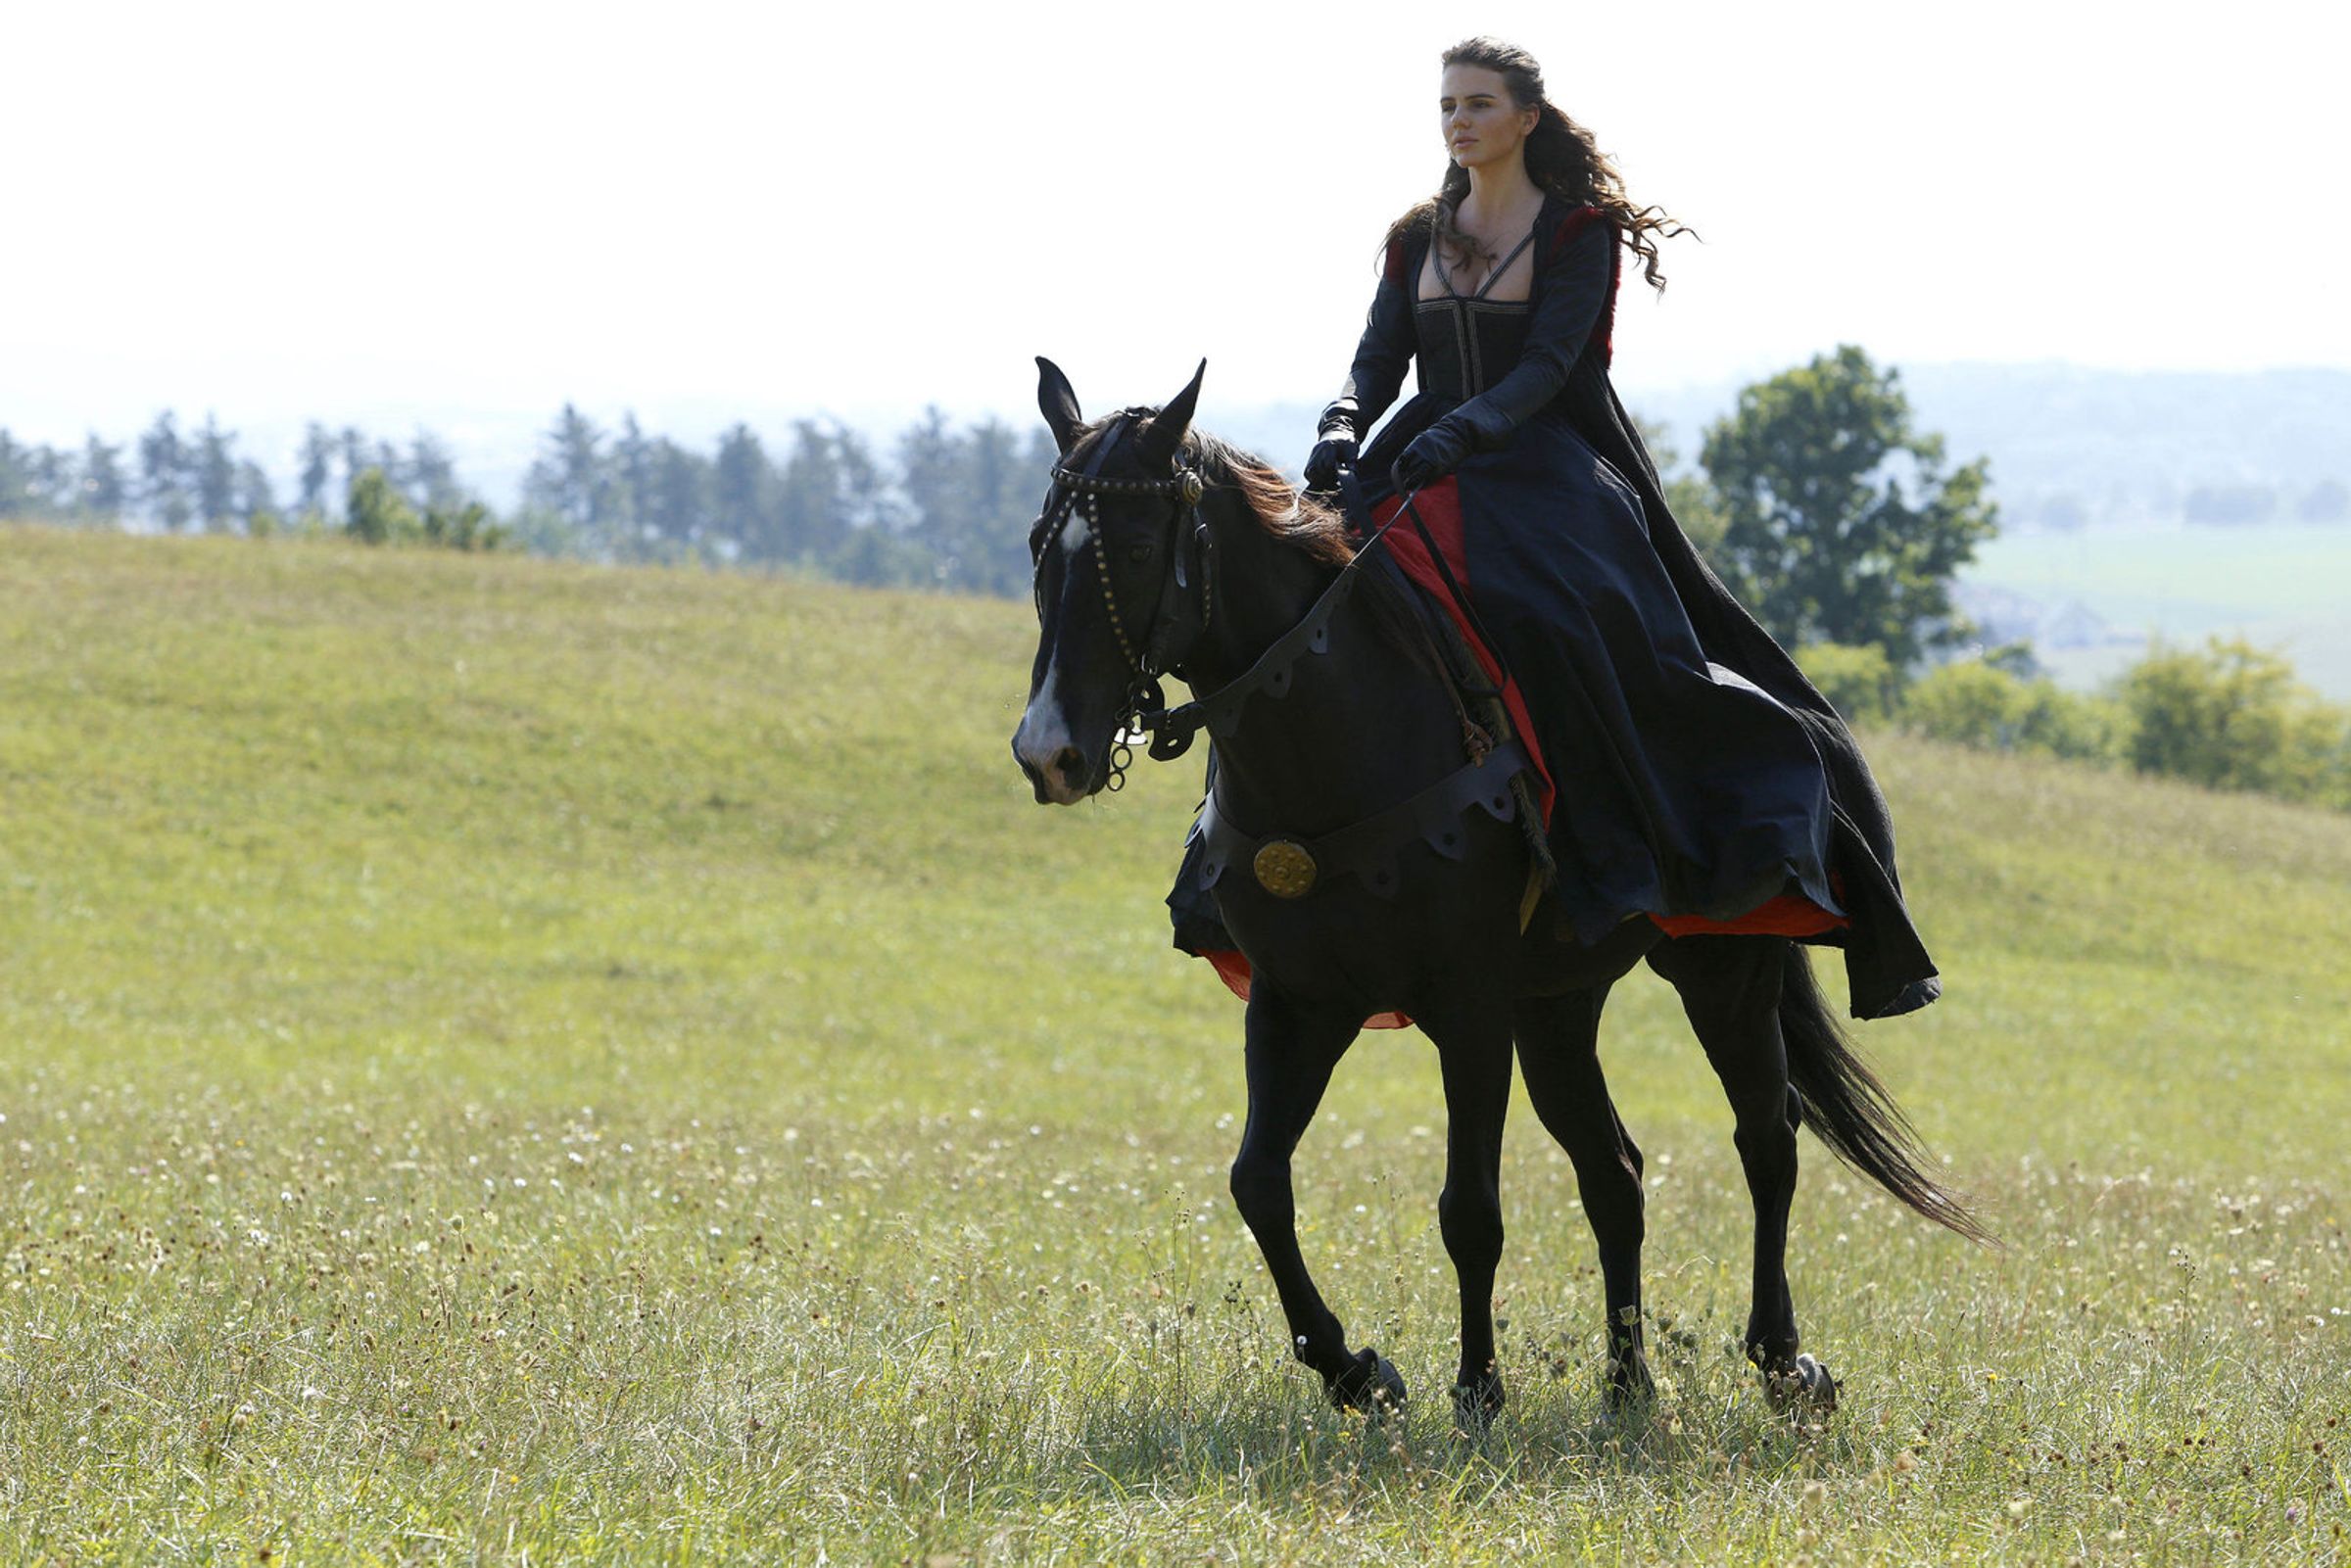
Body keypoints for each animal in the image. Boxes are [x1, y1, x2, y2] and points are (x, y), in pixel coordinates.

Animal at [1010, 357, 1982, 1427]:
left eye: (1140, 546)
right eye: (1037, 548)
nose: (1049, 753)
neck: (1335, 736)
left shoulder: (1468, 1009)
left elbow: (1469, 1206)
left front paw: (1477, 1387)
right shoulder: (1298, 1002)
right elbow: (1259, 1181)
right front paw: (1356, 1372)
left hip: (1721, 969)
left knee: (1767, 1138)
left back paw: (1781, 1361)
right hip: (1556, 1008)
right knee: (1615, 1172)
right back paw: (1627, 1382)